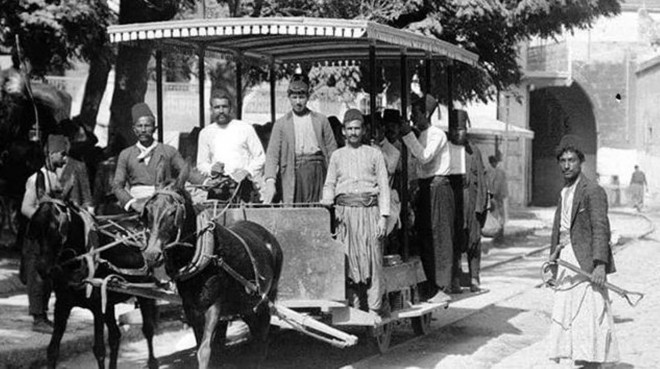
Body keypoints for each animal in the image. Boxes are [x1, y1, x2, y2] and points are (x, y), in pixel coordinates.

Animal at [28, 190, 162, 368]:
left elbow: (99, 350)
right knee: (115, 336)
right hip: (109, 300)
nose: (42, 268)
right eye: (34, 230)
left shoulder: (97, 307)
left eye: (57, 229)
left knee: (148, 329)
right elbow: (52, 350)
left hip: (144, 291)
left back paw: (152, 361)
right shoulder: (63, 304)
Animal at [141, 167, 282, 368]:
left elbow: (205, 351)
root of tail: (268, 235)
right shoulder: (191, 309)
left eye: (173, 212)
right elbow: (205, 347)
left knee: (262, 338)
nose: (152, 254)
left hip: (264, 299)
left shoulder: (215, 306)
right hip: (246, 305)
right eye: (147, 211)